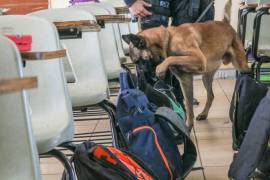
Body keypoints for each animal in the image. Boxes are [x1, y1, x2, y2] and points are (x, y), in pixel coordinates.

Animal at [122, 0, 249, 129]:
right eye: (136, 62)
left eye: (140, 61)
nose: (140, 79)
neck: (169, 39)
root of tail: (225, 23)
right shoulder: (185, 80)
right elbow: (188, 105)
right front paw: (188, 126)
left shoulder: (198, 59)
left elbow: (171, 58)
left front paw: (161, 68)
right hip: (206, 77)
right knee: (211, 96)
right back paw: (203, 114)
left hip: (241, 65)